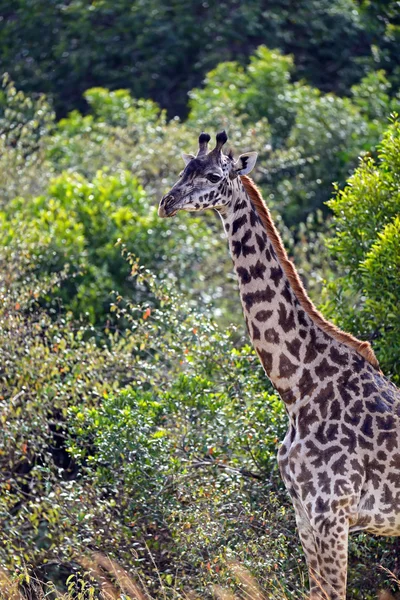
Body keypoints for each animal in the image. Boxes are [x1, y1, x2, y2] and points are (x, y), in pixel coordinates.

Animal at [158, 132, 400, 600]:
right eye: (183, 169)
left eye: (213, 176)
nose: (167, 201)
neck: (299, 387)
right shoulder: (304, 516)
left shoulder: (331, 515)